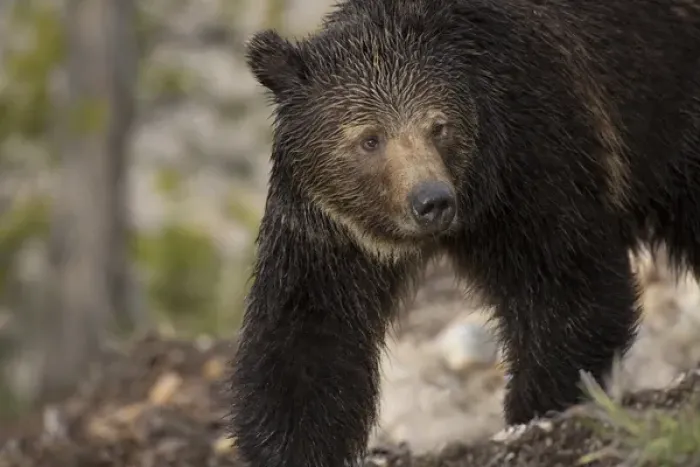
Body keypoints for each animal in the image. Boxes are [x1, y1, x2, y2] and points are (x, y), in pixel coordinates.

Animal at [229, 0, 700, 466]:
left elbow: (567, 287)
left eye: (438, 125)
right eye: (369, 138)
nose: (432, 200)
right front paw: (291, 444)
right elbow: (305, 337)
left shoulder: (529, 169)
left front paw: (532, 408)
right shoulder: (332, 233)